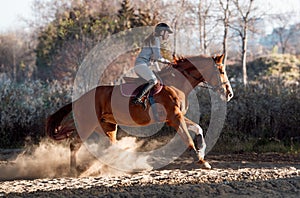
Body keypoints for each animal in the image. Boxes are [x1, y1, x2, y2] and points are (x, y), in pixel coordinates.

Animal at [45, 53, 233, 174]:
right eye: (221, 71)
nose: (229, 93)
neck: (177, 84)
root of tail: (79, 99)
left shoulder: (176, 117)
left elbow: (198, 128)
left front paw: (202, 152)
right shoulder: (174, 118)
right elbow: (188, 138)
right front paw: (202, 161)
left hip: (107, 126)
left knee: (108, 147)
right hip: (87, 126)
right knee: (74, 145)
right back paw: (73, 171)